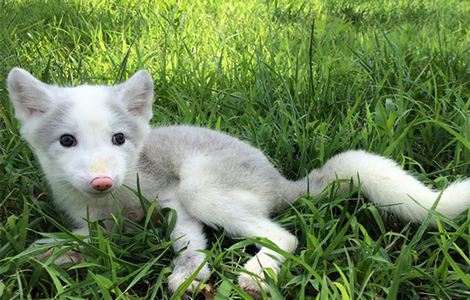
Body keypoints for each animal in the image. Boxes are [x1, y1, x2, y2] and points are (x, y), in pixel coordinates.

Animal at [5, 67, 470, 296]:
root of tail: (281, 180)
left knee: (285, 236)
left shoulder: (171, 196)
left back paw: (257, 273)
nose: (102, 181)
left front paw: (189, 275)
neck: (113, 205)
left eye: (119, 139)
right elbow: (76, 239)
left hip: (202, 188)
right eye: (67, 141)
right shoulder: (96, 221)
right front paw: (55, 252)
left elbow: (189, 242)